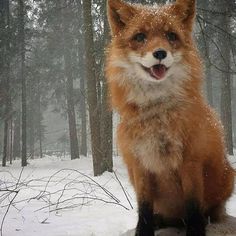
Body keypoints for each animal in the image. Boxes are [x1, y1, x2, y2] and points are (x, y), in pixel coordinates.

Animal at [106, 0, 234, 236]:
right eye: (140, 37)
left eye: (171, 35)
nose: (160, 53)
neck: (157, 114)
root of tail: (175, 219)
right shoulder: (140, 163)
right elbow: (144, 207)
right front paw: (143, 231)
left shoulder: (190, 160)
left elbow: (193, 205)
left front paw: (196, 231)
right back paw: (161, 221)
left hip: (228, 178)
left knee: (212, 210)